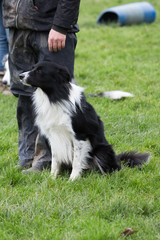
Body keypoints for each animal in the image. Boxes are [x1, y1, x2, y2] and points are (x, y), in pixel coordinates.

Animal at [19, 62, 149, 180]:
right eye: (32, 68)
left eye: (39, 71)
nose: (20, 76)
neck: (54, 96)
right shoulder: (53, 136)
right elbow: (55, 161)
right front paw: (52, 178)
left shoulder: (80, 135)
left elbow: (76, 161)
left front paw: (73, 180)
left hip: (102, 151)